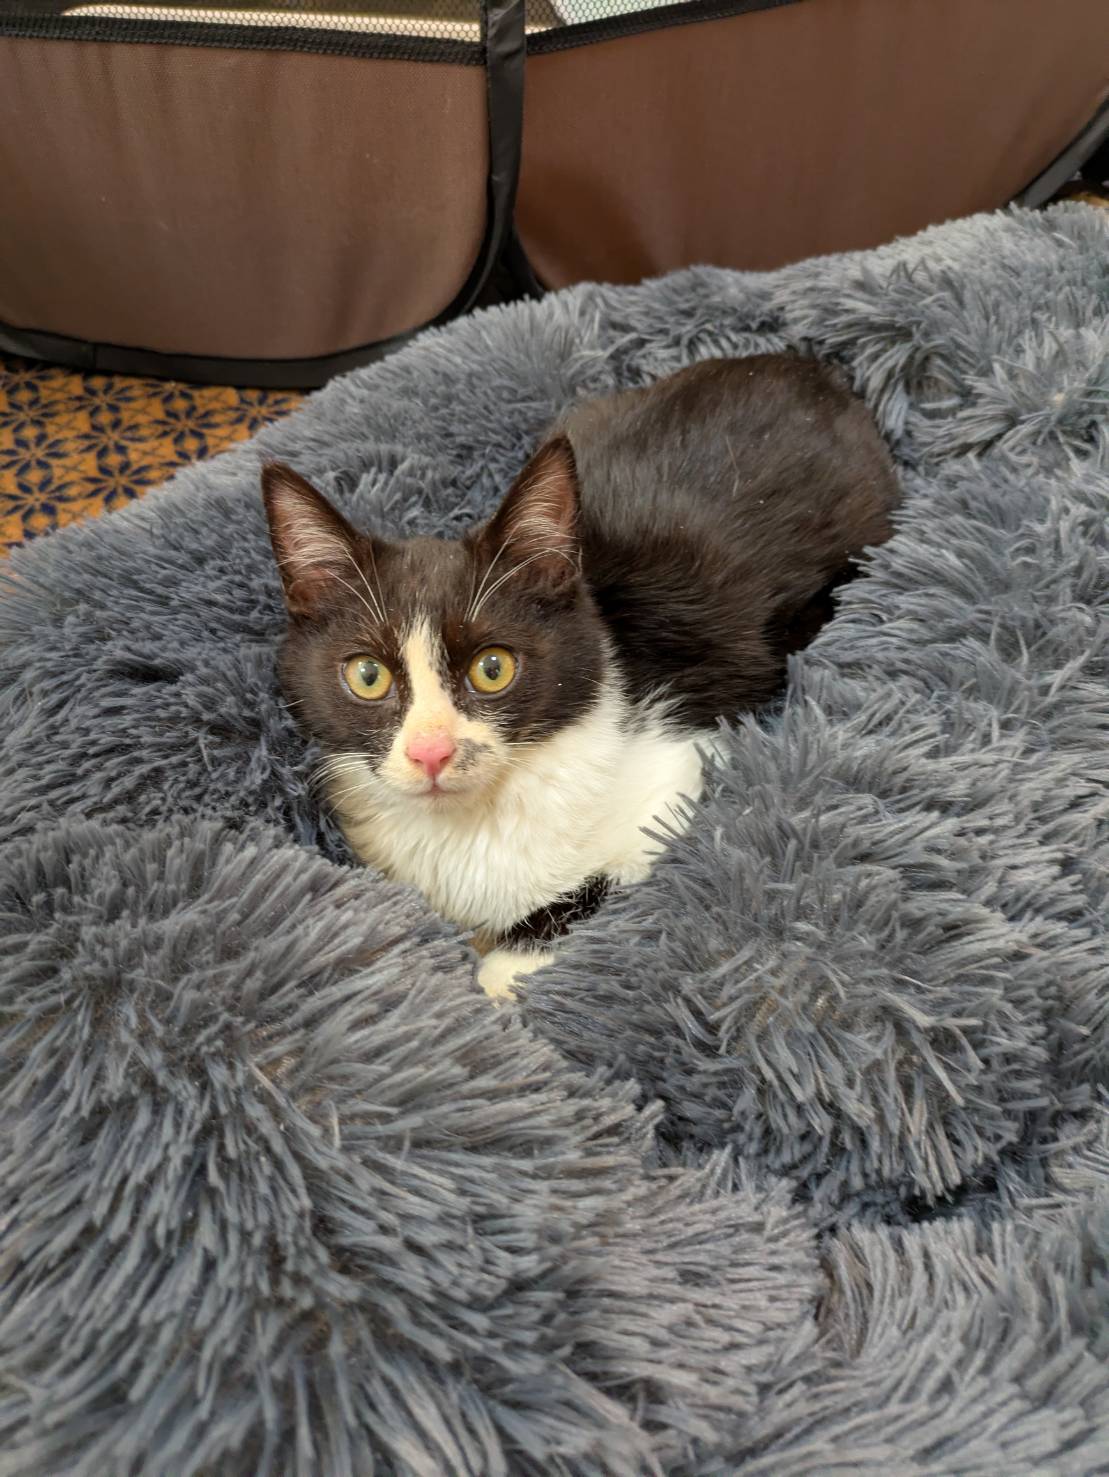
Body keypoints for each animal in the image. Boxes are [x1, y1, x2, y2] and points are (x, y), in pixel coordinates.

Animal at [263, 354, 900, 1000]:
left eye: (493, 668)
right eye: (368, 675)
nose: (431, 753)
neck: (473, 820)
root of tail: (805, 365)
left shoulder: (680, 763)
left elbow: (618, 874)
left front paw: (499, 974)